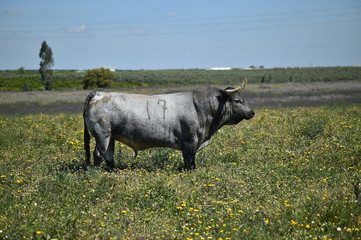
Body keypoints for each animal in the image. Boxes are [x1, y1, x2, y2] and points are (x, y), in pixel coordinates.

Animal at [83, 80, 255, 171]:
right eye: (237, 100)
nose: (252, 112)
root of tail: (99, 94)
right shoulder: (190, 142)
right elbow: (189, 162)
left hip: (111, 137)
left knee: (109, 155)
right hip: (103, 135)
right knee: (98, 155)